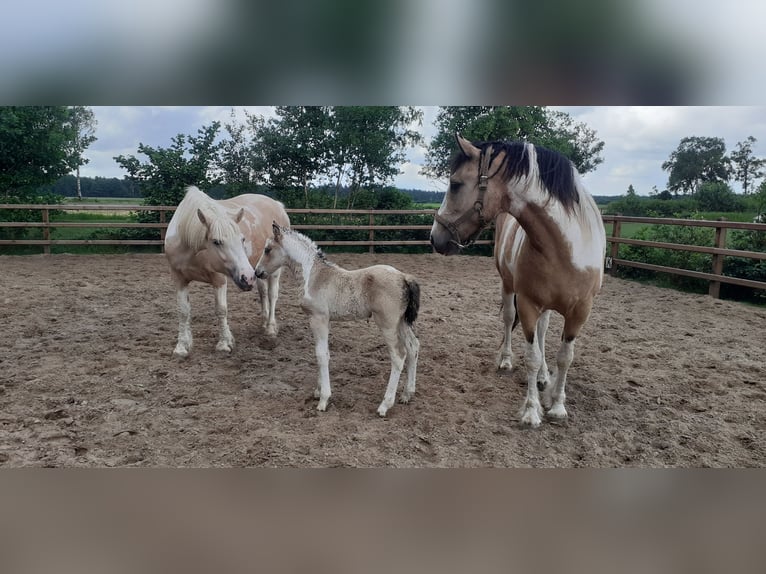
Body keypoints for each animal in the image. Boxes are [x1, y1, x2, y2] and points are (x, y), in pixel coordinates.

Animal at [164, 186, 290, 358]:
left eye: (242, 239)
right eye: (216, 242)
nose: (247, 277)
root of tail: (278, 205)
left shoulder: (219, 279)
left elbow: (221, 310)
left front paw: (224, 343)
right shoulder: (179, 280)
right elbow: (183, 311)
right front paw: (182, 346)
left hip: (272, 269)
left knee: (272, 294)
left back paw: (270, 328)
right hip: (259, 269)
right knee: (263, 293)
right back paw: (264, 322)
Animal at [254, 223, 420, 417]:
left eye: (267, 249)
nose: (257, 272)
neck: (312, 275)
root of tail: (404, 277)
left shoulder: (318, 318)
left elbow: (321, 355)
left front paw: (324, 399)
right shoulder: (323, 320)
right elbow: (323, 352)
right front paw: (318, 391)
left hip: (387, 324)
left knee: (398, 355)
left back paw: (385, 405)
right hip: (402, 322)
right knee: (413, 347)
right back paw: (407, 394)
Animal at [430, 134, 606, 427]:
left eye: (455, 184)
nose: (435, 238)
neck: (566, 247)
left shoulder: (580, 312)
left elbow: (564, 357)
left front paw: (557, 406)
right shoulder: (527, 305)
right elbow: (531, 356)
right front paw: (532, 410)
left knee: (544, 334)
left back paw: (545, 377)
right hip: (508, 287)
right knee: (509, 320)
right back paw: (507, 361)